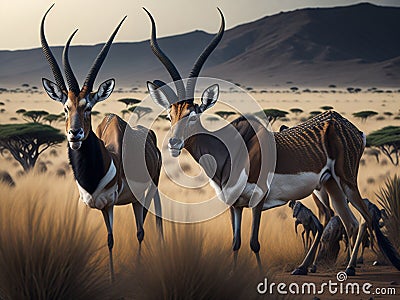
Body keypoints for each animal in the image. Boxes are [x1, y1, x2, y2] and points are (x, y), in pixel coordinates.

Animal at [40, 4, 162, 282]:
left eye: (88, 107)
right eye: (66, 107)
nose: (75, 134)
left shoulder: (108, 205)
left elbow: (110, 240)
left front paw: (113, 279)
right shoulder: (85, 206)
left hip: (148, 193)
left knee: (145, 229)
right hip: (134, 201)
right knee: (140, 230)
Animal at [144, 8, 400, 276]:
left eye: (193, 114)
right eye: (170, 115)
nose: (174, 143)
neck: (232, 150)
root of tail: (350, 127)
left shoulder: (257, 201)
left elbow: (254, 243)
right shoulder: (235, 205)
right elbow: (236, 243)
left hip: (347, 181)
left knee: (363, 219)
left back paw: (348, 268)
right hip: (329, 186)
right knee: (345, 221)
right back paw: (312, 267)